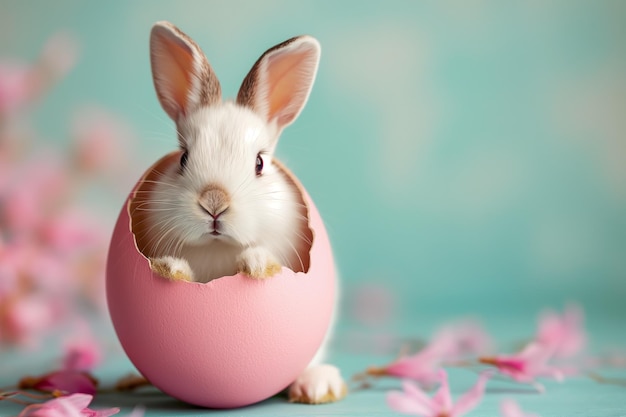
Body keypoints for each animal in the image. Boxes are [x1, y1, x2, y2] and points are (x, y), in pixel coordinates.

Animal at [140, 22, 346, 404]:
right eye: (183, 158)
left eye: (260, 163)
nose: (214, 202)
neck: (218, 247)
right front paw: (170, 268)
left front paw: (255, 263)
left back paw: (316, 385)